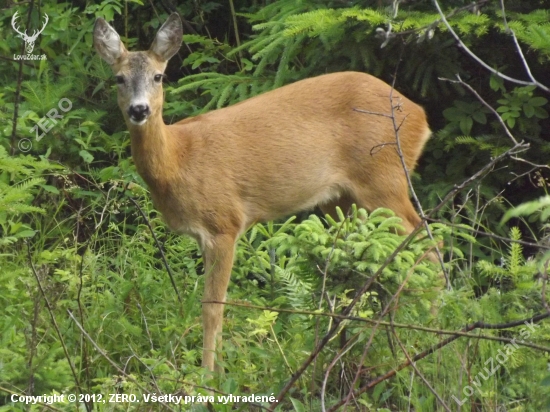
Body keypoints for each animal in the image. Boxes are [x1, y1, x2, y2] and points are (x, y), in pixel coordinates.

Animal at [92, 13, 434, 374]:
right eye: (118, 78)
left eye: (158, 76)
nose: (139, 110)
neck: (178, 159)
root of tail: (421, 115)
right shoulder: (203, 235)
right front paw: (221, 367)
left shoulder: (224, 223)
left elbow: (212, 305)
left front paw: (208, 374)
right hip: (341, 199)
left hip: (384, 178)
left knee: (426, 242)